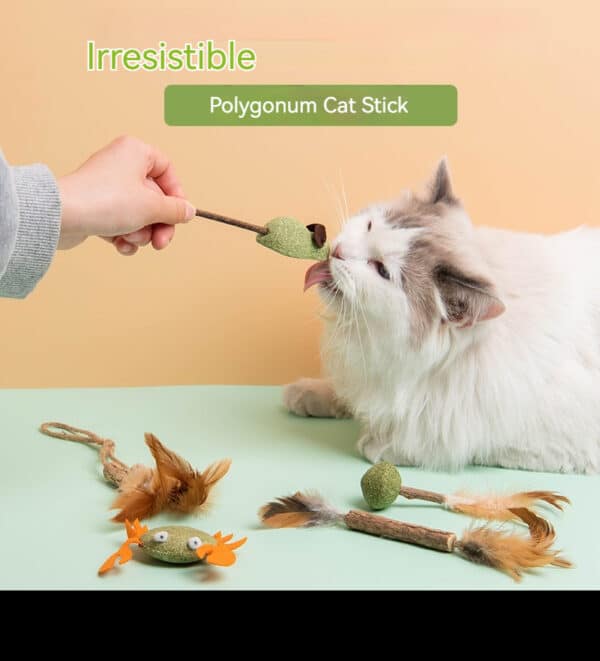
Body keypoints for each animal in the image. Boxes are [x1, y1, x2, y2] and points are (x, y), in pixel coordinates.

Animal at [284, 157, 600, 472]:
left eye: (382, 270)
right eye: (370, 226)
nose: (337, 250)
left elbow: (461, 442)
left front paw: (380, 443)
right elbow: (350, 391)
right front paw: (308, 394)